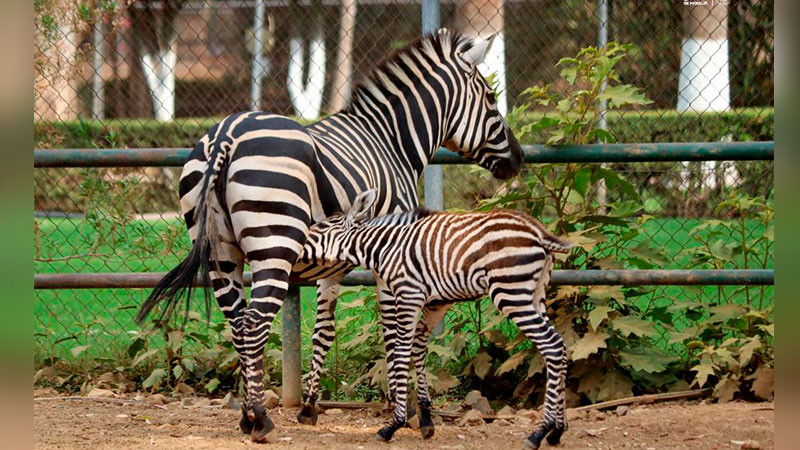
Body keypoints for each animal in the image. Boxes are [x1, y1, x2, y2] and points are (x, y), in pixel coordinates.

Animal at [135, 28, 523, 443]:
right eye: (491, 98)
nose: (518, 159)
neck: (390, 141)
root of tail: (226, 133)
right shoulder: (391, 258)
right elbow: (395, 334)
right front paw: (407, 411)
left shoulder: (333, 265)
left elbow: (324, 329)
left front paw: (309, 407)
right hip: (274, 246)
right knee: (255, 323)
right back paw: (260, 419)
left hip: (220, 254)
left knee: (238, 324)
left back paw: (245, 416)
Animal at [301, 189, 572, 448]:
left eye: (322, 227)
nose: (298, 245)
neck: (386, 248)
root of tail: (536, 230)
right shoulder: (435, 303)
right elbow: (417, 350)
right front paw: (425, 419)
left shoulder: (409, 295)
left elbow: (401, 354)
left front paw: (394, 424)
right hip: (536, 295)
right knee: (558, 346)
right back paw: (557, 431)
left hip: (510, 292)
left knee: (550, 346)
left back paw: (539, 433)